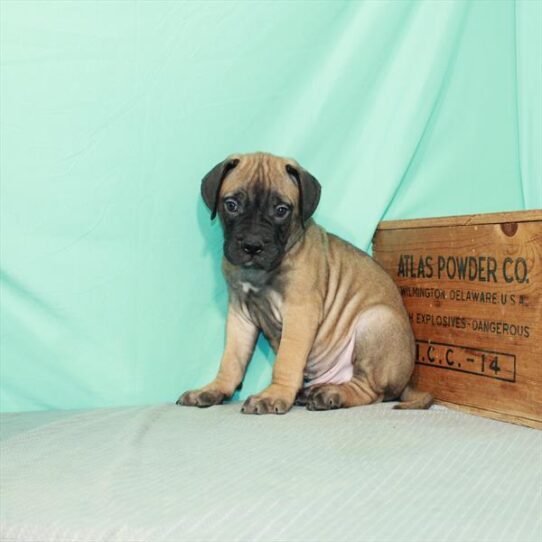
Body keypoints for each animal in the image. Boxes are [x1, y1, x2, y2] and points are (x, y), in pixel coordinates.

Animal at [178, 153, 434, 416]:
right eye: (231, 205)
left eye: (281, 210)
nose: (252, 245)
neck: (259, 273)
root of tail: (405, 382)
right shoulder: (240, 315)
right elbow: (231, 359)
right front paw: (214, 389)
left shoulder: (300, 312)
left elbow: (286, 360)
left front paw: (273, 395)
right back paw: (312, 391)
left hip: (375, 320)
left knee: (370, 391)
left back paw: (332, 395)